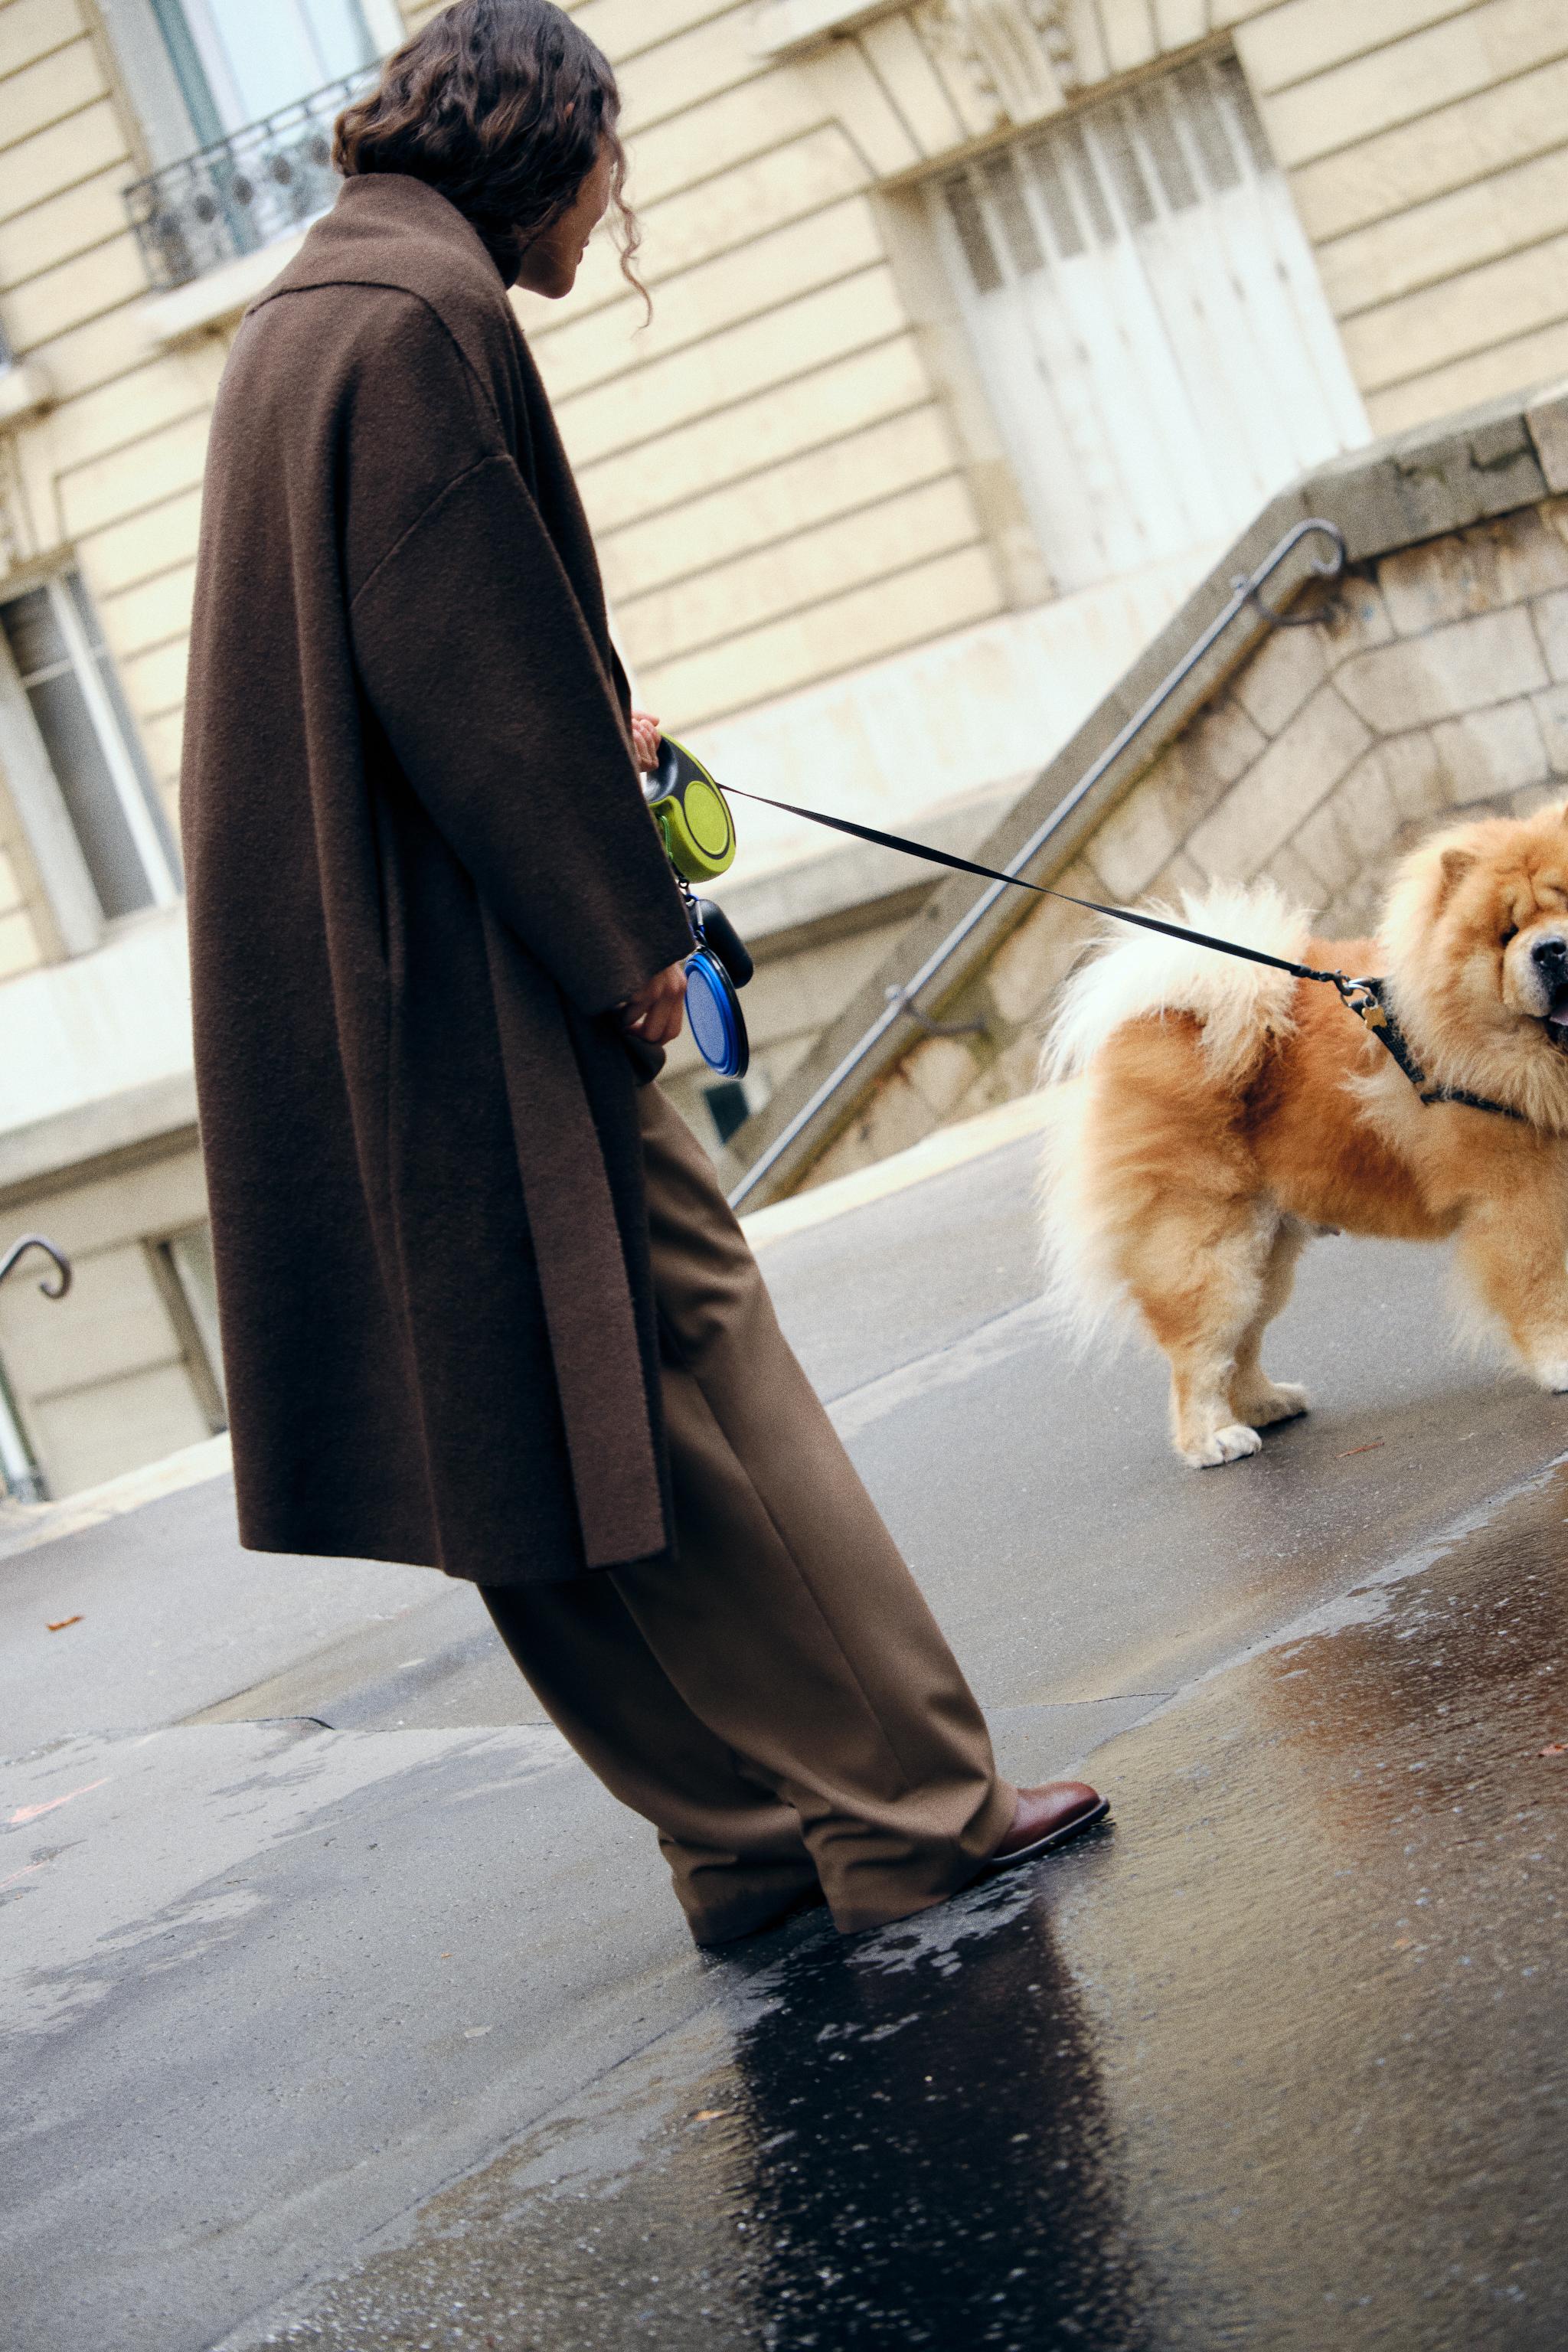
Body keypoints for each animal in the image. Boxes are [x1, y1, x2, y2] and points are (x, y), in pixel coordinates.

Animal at [1044, 808, 1568, 1467]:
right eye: (1507, 933)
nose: (1552, 950)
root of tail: (1163, 1023)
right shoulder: (1520, 1199)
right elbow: (1542, 1287)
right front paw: (1560, 1365)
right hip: (1210, 1252)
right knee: (1197, 1357)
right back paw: (1213, 1440)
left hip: (1264, 1259)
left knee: (1239, 1348)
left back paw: (1268, 1405)